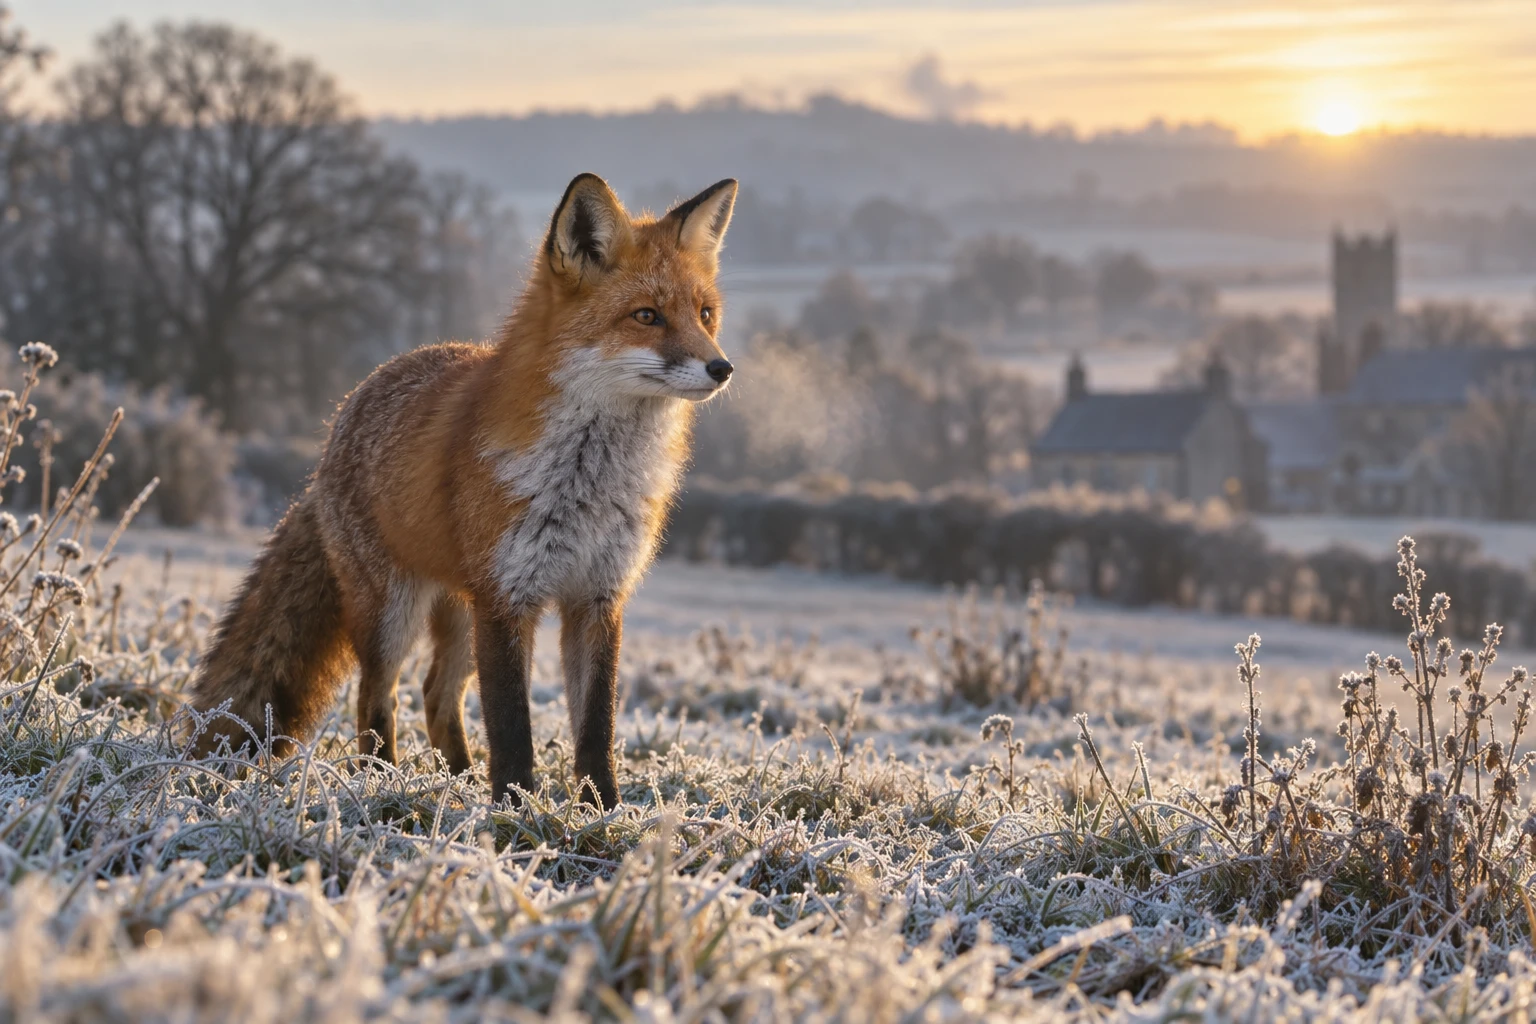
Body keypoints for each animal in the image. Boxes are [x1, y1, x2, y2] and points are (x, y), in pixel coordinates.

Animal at [189, 173, 738, 809]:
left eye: (705, 314)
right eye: (647, 315)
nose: (722, 368)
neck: (587, 483)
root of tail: (341, 418)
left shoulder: (597, 598)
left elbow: (595, 725)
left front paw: (602, 810)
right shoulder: (508, 598)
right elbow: (512, 724)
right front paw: (516, 814)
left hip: (458, 612)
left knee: (435, 694)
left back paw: (457, 779)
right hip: (395, 612)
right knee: (376, 697)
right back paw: (384, 782)